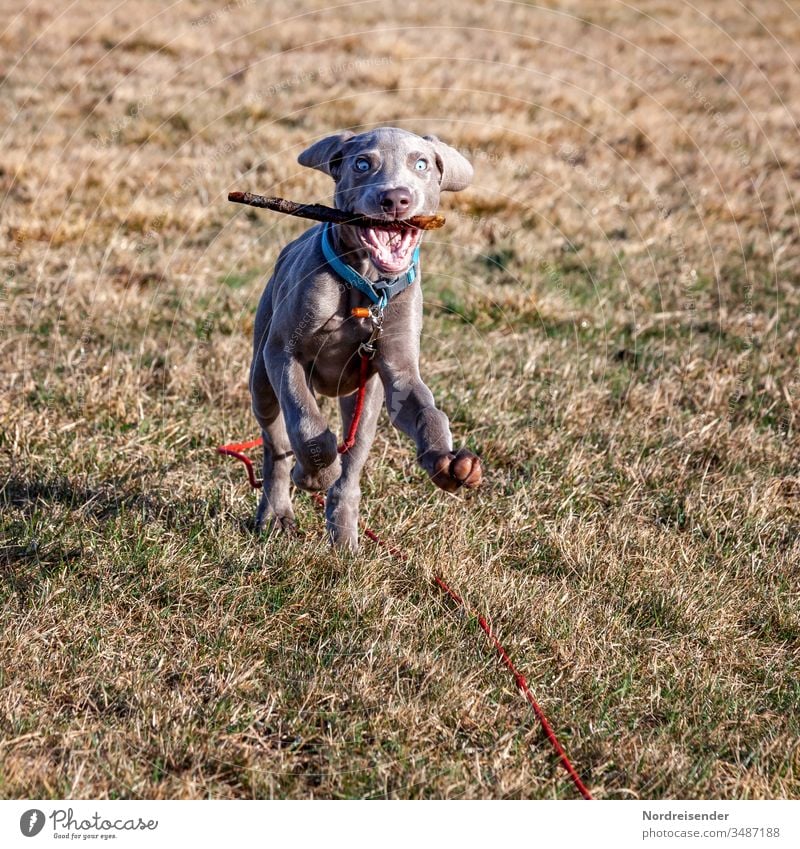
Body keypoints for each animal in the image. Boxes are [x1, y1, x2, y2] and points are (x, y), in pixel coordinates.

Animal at [250, 126, 482, 548]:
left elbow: (428, 412)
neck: (367, 288)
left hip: (363, 395)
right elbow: (307, 425)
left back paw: (343, 533)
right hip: (260, 376)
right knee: (276, 445)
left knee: (353, 460)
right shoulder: (282, 354)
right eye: (362, 164)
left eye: (421, 164)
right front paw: (314, 473)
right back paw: (277, 512)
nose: (396, 198)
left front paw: (449, 463)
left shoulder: (398, 371)